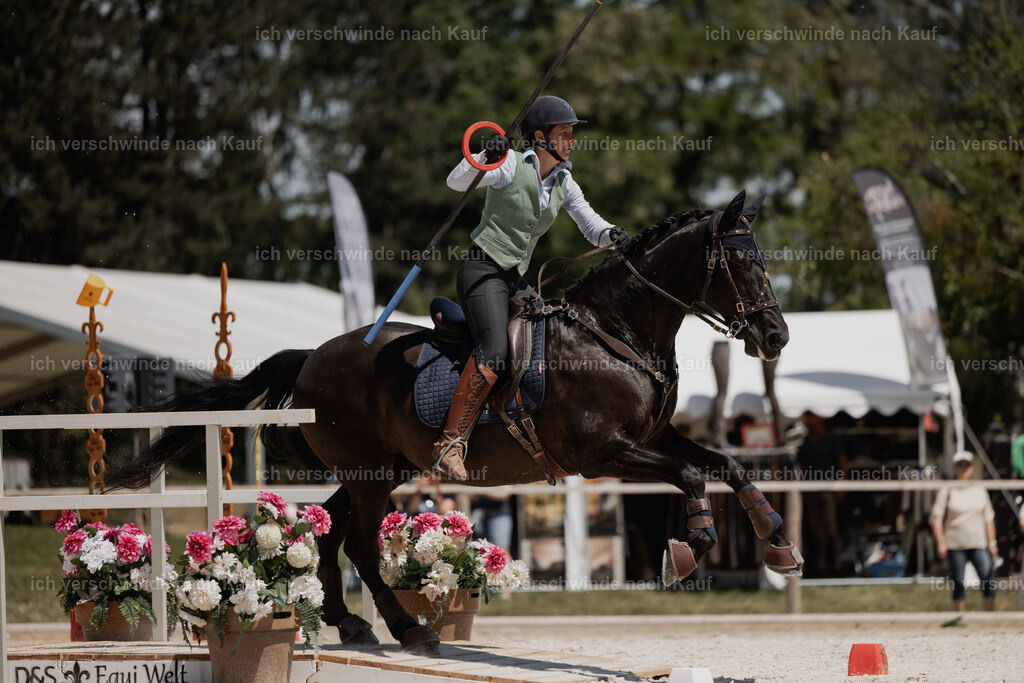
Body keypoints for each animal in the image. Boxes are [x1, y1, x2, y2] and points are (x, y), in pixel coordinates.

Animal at [108, 189, 798, 654]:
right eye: (744, 263)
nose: (776, 337)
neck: (617, 333)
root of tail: (313, 355)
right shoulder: (603, 452)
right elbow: (691, 477)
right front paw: (689, 548)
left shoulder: (655, 438)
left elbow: (726, 465)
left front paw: (777, 541)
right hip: (370, 473)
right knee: (360, 544)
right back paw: (408, 630)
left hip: (379, 469)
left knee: (331, 533)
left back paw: (353, 624)